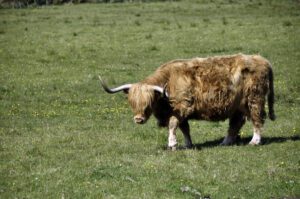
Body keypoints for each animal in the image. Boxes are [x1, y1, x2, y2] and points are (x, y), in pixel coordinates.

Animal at [99, 53, 276, 150]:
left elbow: (173, 125)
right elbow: (185, 128)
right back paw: (225, 142)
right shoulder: (180, 112)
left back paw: (255, 141)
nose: (138, 119)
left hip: (254, 99)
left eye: (148, 102)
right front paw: (187, 144)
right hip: (237, 106)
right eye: (132, 102)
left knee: (257, 119)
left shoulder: (182, 107)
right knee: (236, 123)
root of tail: (262, 60)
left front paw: (172, 144)